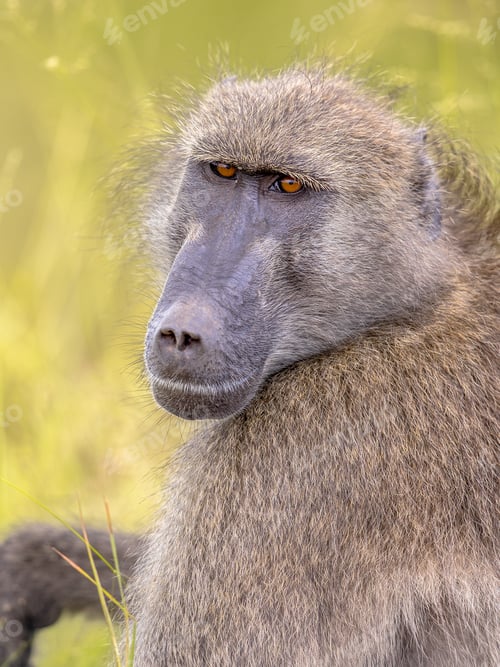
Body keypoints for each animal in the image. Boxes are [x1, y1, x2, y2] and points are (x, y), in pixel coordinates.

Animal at [0, 65, 498, 667]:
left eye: (287, 187)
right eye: (223, 172)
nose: (182, 333)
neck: (415, 306)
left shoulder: (296, 452)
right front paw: (34, 566)